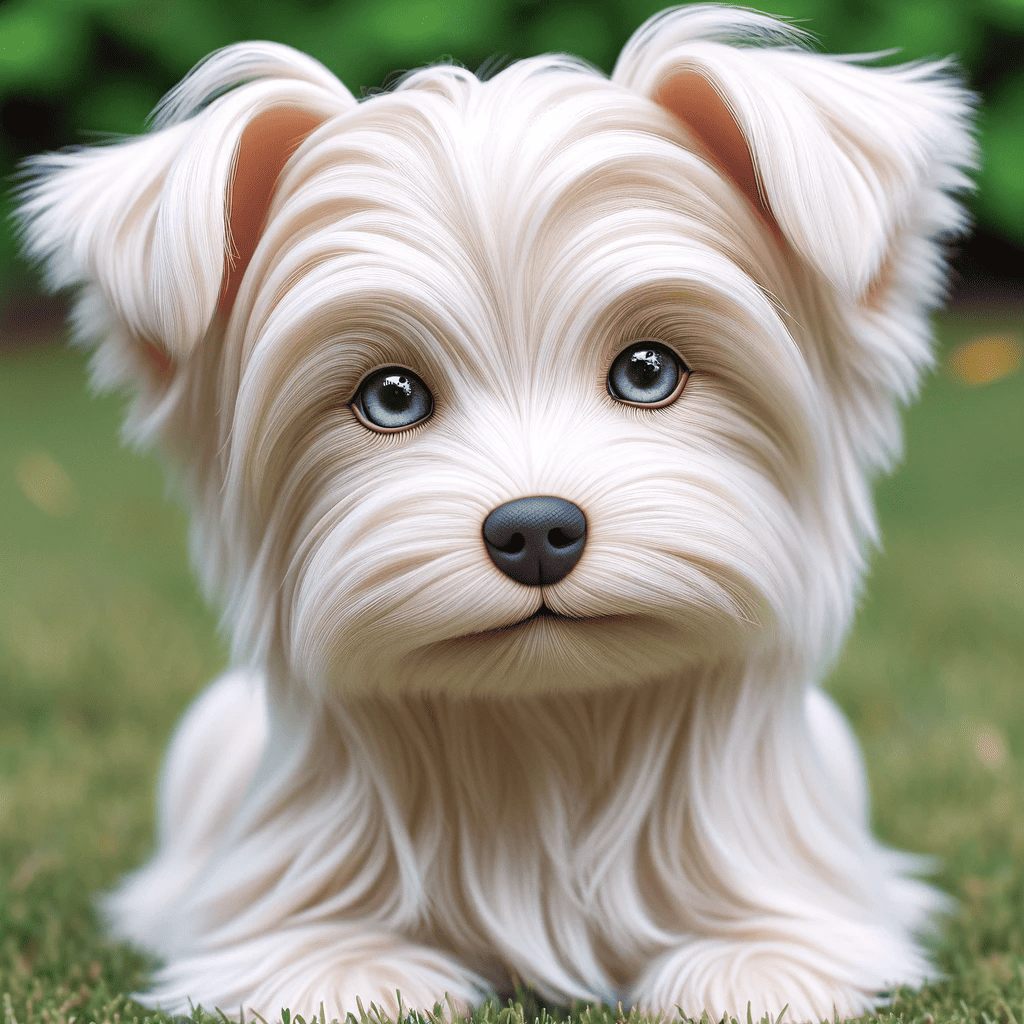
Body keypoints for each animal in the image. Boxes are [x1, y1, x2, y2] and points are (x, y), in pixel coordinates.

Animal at [16, 6, 974, 1015]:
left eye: (648, 371)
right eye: (391, 396)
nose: (535, 529)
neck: (541, 728)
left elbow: (776, 948)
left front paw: (748, 973)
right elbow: (311, 961)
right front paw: (361, 980)